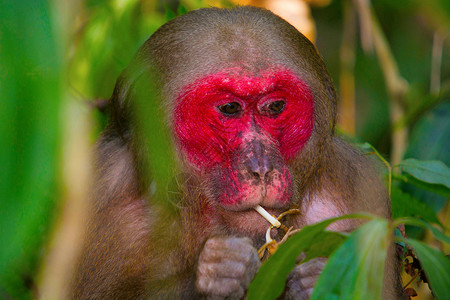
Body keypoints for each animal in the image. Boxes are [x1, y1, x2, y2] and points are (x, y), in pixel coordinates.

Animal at [71, 5, 404, 300]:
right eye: (229, 108)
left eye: (275, 106)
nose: (261, 168)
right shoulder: (101, 200)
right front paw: (216, 274)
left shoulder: (361, 192)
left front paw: (318, 279)